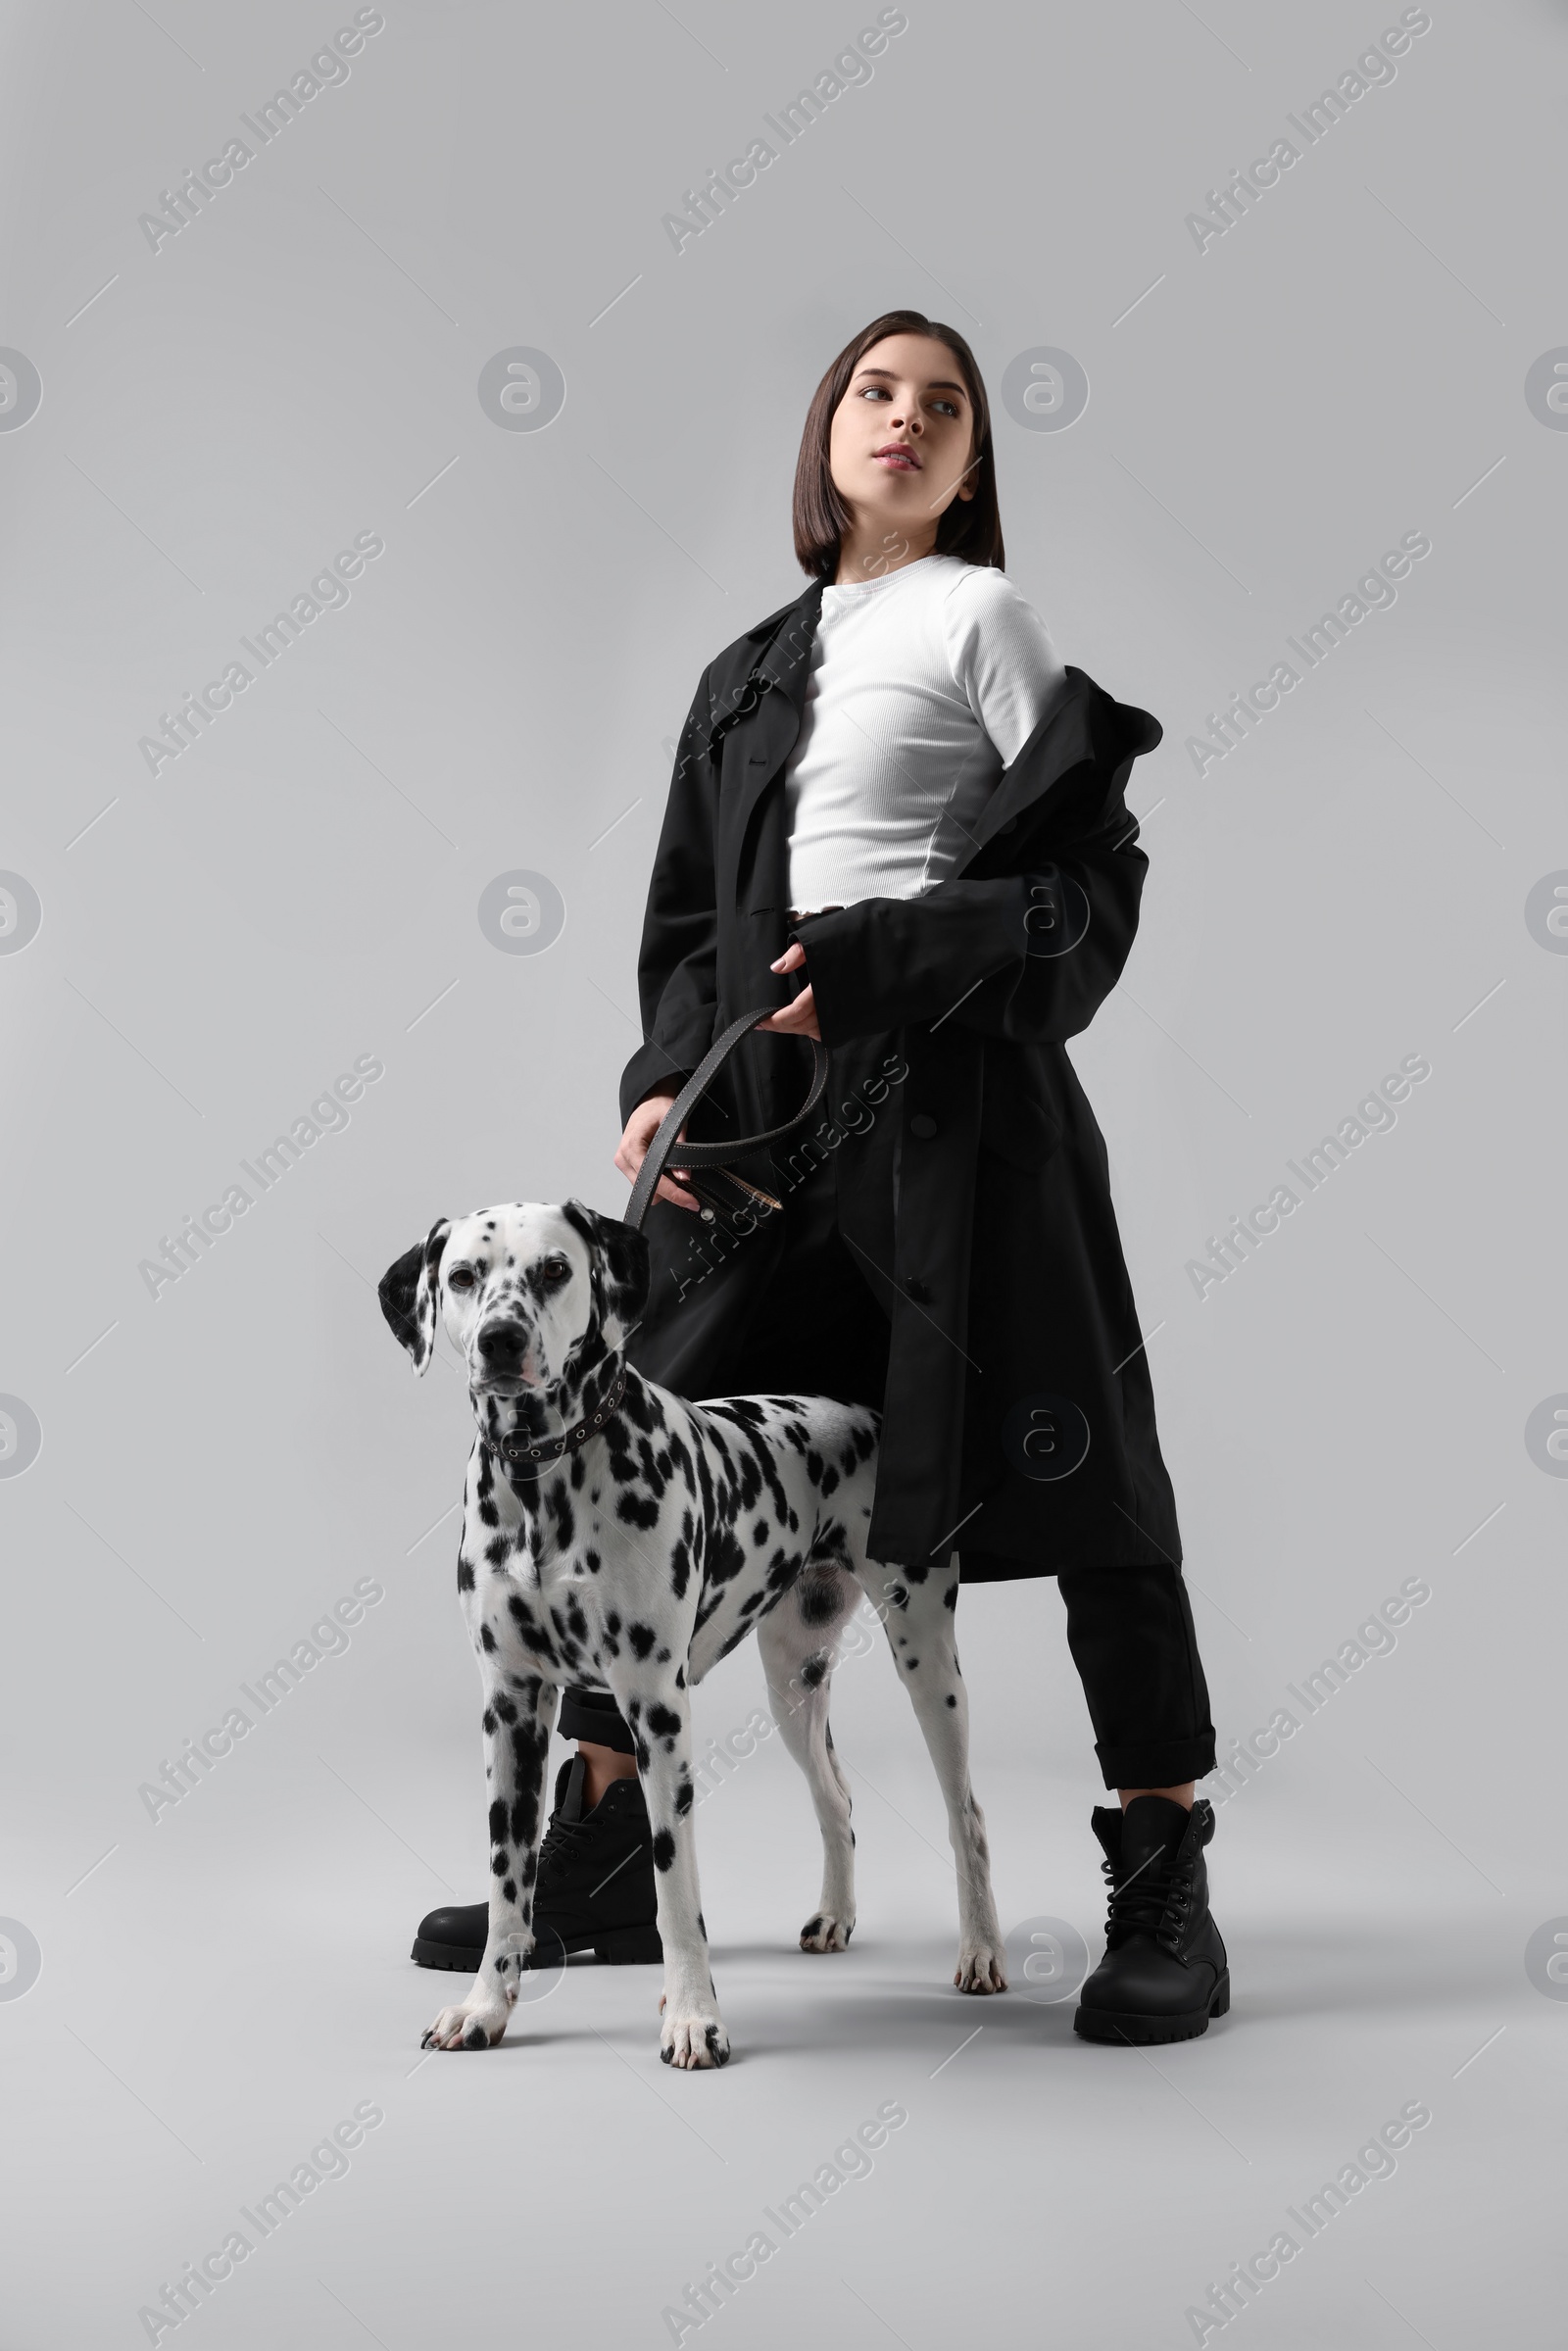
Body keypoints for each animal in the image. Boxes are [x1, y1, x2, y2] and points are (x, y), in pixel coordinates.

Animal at [380, 1203, 1005, 2069]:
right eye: (465, 1276)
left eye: (554, 1269)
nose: (501, 1341)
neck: (545, 1487)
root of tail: (868, 1415)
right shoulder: (512, 1708)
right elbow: (510, 1886)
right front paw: (484, 2008)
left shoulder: (656, 1708)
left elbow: (677, 1890)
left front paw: (693, 2016)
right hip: (793, 1681)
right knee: (835, 1798)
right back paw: (835, 1914)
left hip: (928, 1662)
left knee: (966, 1815)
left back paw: (980, 1950)